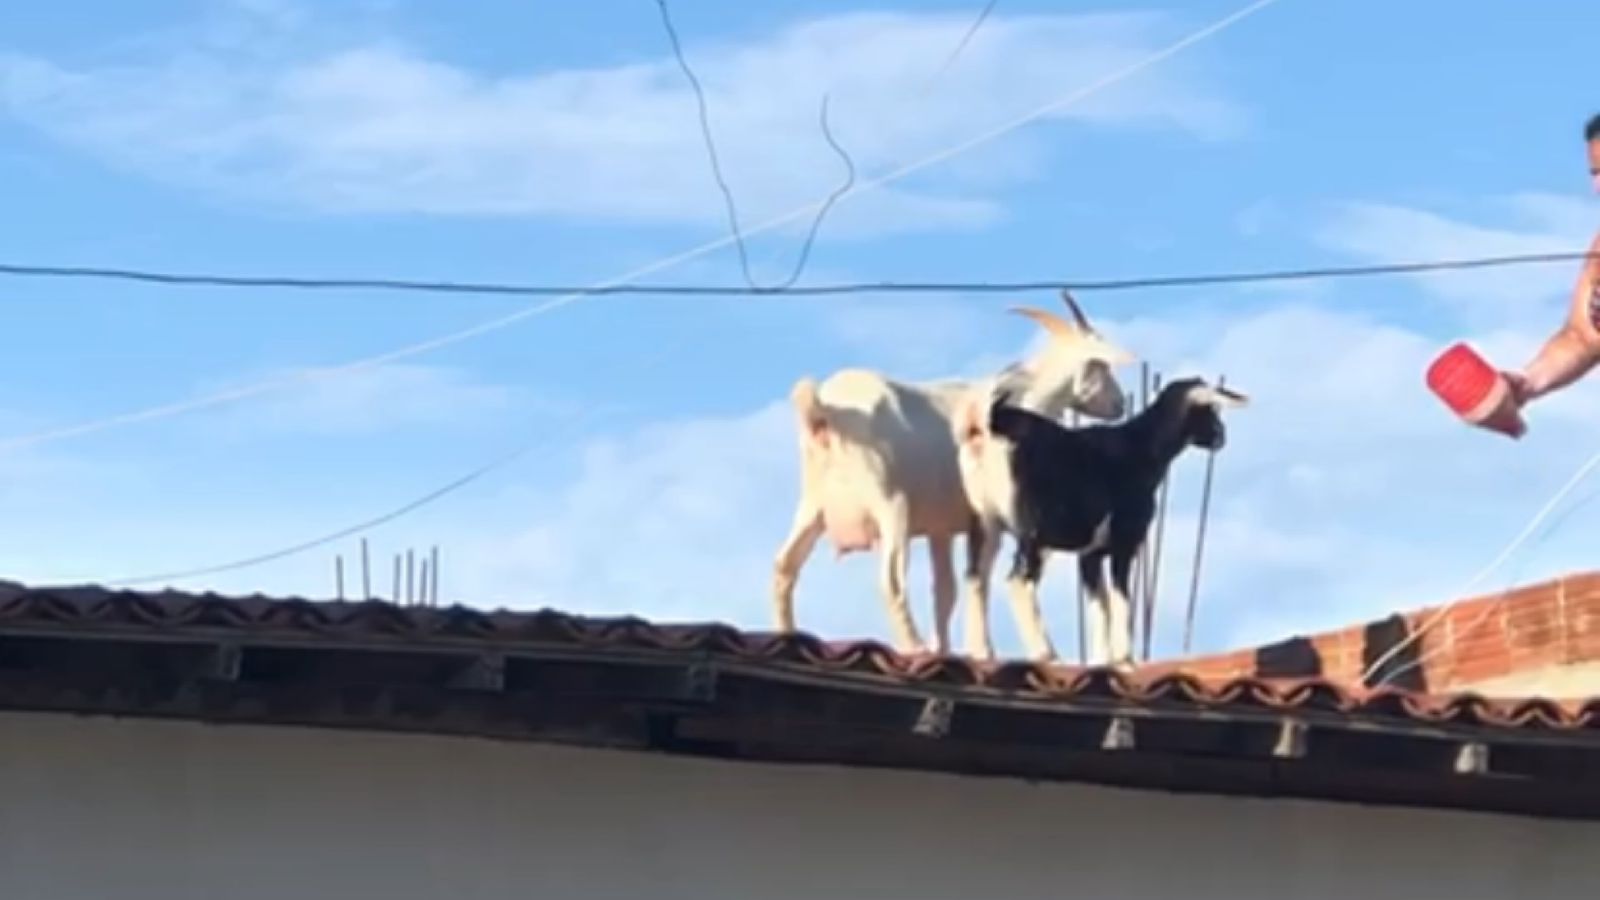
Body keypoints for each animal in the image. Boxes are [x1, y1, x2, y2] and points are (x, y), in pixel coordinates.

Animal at [773, 291, 1137, 656]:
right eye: (1101, 364)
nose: (1119, 404)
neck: (1024, 394)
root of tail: (824, 413)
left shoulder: (942, 530)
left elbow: (947, 590)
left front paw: (949, 649)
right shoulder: (988, 520)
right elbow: (978, 578)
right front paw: (981, 650)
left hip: (812, 509)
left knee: (784, 568)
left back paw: (788, 634)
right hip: (891, 505)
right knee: (891, 580)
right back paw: (916, 646)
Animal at [956, 377, 1247, 667]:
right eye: (1210, 409)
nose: (1221, 436)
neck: (1140, 446)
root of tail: (994, 424)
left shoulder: (1091, 554)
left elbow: (1100, 603)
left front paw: (1100, 661)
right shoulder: (1124, 542)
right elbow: (1120, 595)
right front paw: (1125, 658)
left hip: (986, 524)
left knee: (976, 577)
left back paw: (982, 652)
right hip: (1037, 531)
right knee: (1017, 581)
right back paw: (1046, 654)